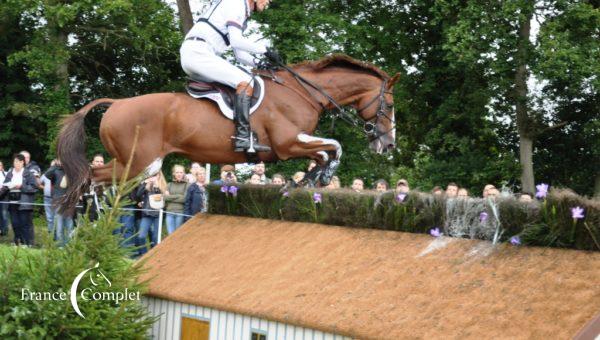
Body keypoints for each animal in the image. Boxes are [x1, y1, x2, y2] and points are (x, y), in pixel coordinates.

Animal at [56, 55, 398, 210]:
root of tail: (117, 104)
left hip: (133, 163)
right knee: (91, 176)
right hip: (141, 163)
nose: (388, 145)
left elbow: (324, 152)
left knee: (93, 177)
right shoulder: (287, 144)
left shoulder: (296, 144)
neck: (304, 92)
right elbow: (334, 146)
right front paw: (321, 177)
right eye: (391, 105)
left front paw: (309, 180)